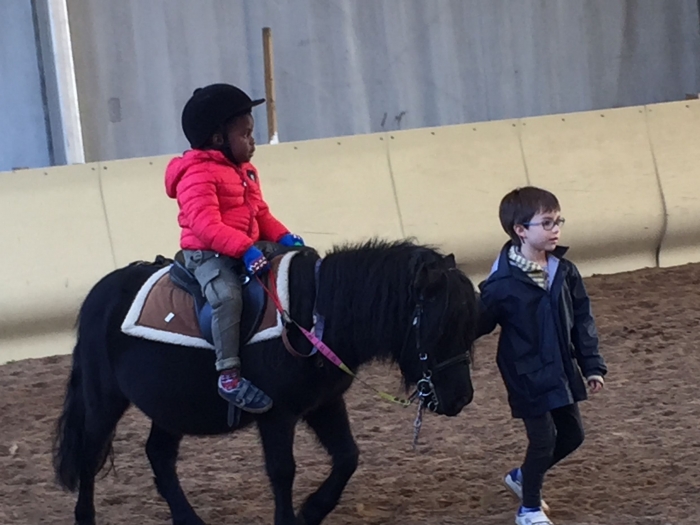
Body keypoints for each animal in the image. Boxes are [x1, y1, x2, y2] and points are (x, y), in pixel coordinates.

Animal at [53, 238, 482, 524]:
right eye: (440, 327)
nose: (461, 398)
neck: (313, 316)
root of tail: (101, 293)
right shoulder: (278, 415)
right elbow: (282, 470)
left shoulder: (325, 404)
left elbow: (348, 457)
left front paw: (311, 512)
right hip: (103, 400)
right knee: (89, 456)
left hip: (169, 405)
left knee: (159, 455)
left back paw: (189, 519)